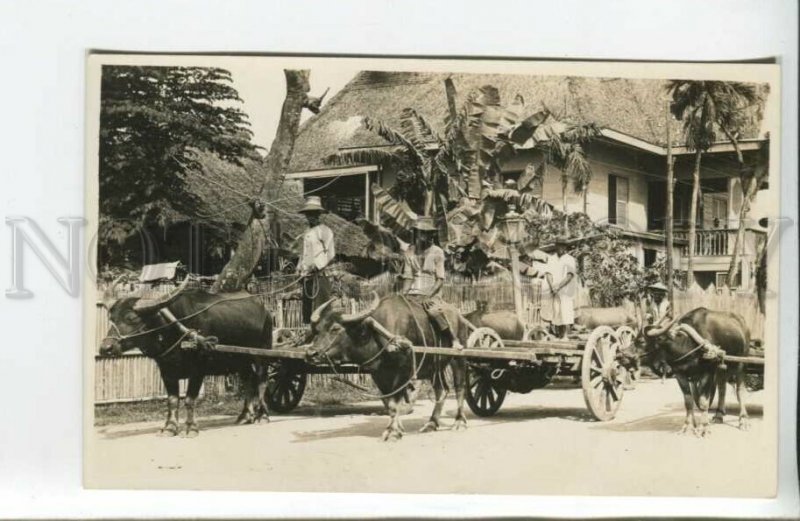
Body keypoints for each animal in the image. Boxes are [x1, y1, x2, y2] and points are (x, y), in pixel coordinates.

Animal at [99, 278, 276, 436]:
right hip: (241, 359)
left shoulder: (198, 370)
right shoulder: (166, 370)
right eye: (111, 318)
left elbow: (190, 399)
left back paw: (262, 416)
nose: (106, 348)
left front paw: (191, 428)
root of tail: (265, 310)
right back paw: (245, 416)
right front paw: (170, 427)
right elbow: (172, 400)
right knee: (248, 380)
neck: (175, 329)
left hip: (261, 352)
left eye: (131, 318)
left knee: (261, 380)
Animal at [306, 292, 468, 438]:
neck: (378, 337)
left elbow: (395, 401)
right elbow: (389, 403)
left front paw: (392, 432)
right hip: (435, 366)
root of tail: (459, 315)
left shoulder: (403, 372)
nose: (311, 353)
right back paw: (431, 424)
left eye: (335, 328)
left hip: (458, 360)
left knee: (460, 388)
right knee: (441, 390)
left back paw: (459, 422)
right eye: (317, 330)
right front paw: (397, 428)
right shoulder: (379, 374)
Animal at [636, 306, 752, 436]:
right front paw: (688, 426)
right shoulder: (680, 374)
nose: (623, 355)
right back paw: (718, 415)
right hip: (722, 367)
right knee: (722, 388)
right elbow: (688, 401)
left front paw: (704, 427)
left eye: (641, 341)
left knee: (740, 390)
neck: (689, 345)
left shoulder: (708, 372)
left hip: (741, 363)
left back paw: (743, 420)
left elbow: (703, 401)